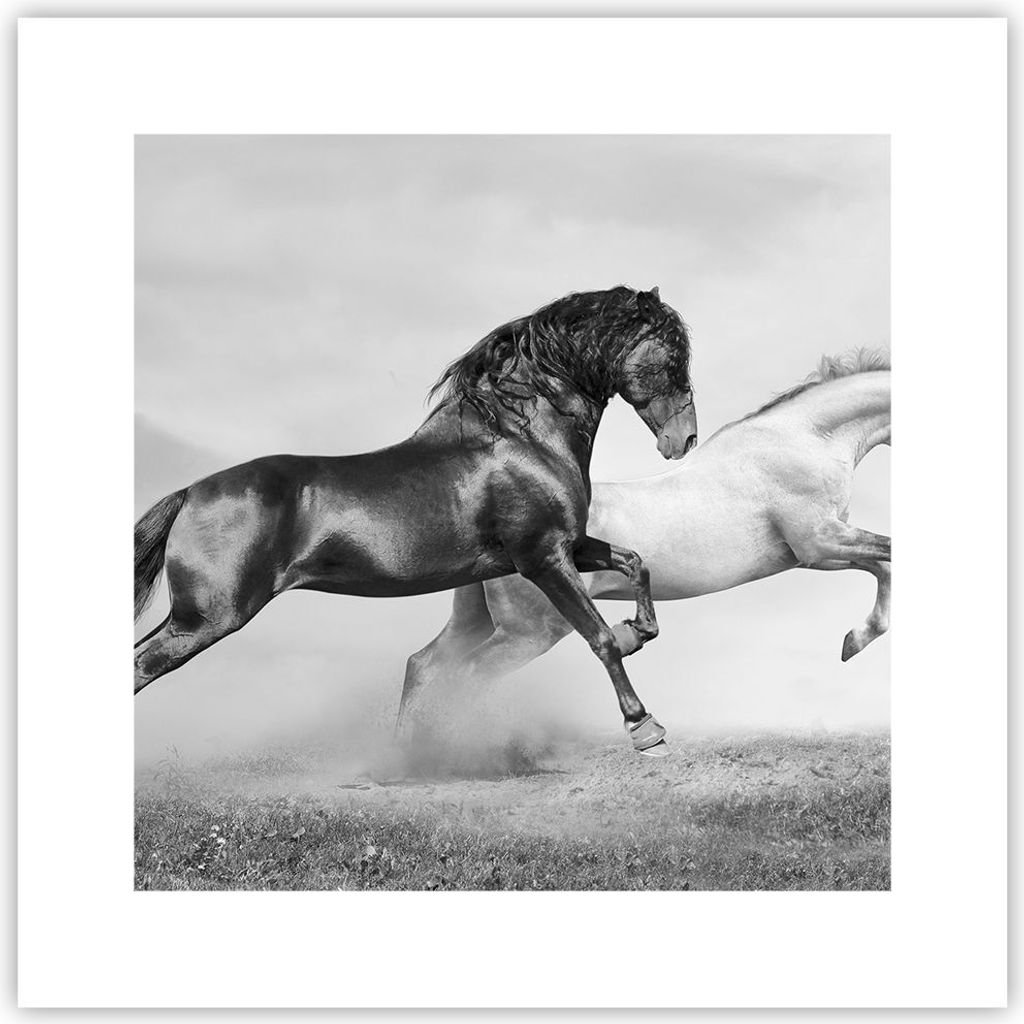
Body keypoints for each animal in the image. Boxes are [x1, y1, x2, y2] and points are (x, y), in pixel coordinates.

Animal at [134, 286, 698, 753]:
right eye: (671, 356)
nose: (685, 439)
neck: (522, 439)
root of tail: (190, 493)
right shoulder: (542, 558)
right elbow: (598, 638)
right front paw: (644, 727)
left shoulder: (570, 546)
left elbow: (635, 563)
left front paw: (637, 630)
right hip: (208, 618)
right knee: (141, 666)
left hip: (192, 618)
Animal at [399, 349, 890, 749]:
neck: (805, 438)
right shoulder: (819, 542)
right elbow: (890, 555)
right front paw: (857, 639)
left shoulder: (818, 552)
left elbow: (882, 568)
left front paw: (853, 641)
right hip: (528, 634)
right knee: (464, 677)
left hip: (478, 622)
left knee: (424, 665)